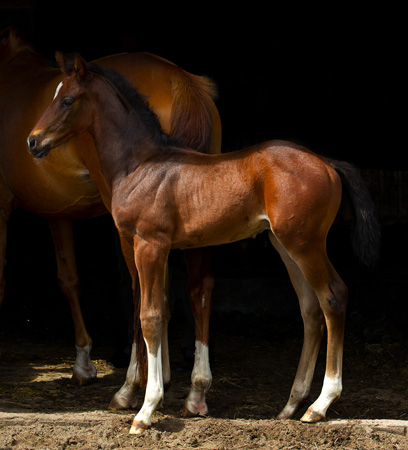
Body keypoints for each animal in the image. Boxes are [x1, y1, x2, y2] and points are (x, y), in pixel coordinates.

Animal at [0, 29, 220, 384]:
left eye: (67, 101)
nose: (32, 141)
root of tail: (178, 78)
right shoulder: (58, 213)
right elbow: (69, 279)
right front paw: (82, 361)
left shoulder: (1, 208)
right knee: (198, 285)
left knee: (144, 289)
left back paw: (141, 373)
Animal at [27, 54, 380, 434]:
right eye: (54, 95)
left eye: (66, 100)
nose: (33, 141)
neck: (140, 164)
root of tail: (328, 162)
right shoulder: (151, 247)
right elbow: (157, 308)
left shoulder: (150, 244)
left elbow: (149, 315)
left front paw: (146, 410)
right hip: (284, 245)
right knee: (310, 308)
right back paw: (290, 405)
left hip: (305, 243)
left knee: (333, 297)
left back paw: (320, 405)